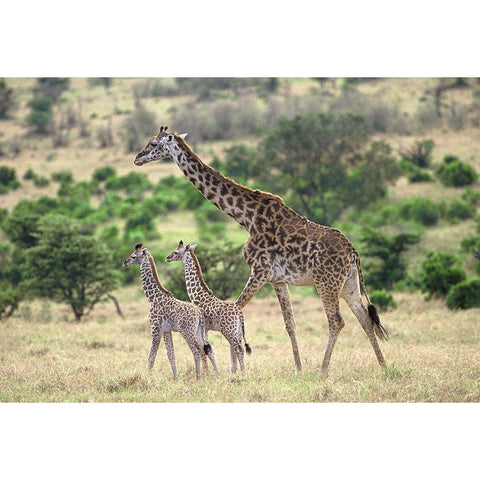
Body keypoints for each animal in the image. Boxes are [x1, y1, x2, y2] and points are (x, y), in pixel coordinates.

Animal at [121, 244, 218, 378]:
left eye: (134, 256)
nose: (124, 262)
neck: (153, 298)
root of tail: (199, 314)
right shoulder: (167, 330)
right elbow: (171, 354)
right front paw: (176, 378)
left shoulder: (156, 328)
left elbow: (152, 355)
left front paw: (148, 377)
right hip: (199, 330)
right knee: (208, 349)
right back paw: (216, 375)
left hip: (187, 331)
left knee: (197, 350)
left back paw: (199, 377)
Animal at [166, 242, 251, 374]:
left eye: (176, 252)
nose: (167, 257)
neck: (198, 297)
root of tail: (239, 313)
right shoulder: (205, 329)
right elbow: (206, 349)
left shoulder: (203, 328)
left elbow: (203, 350)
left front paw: (206, 373)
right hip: (237, 331)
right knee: (237, 348)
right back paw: (237, 372)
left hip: (228, 330)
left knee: (238, 349)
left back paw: (243, 374)